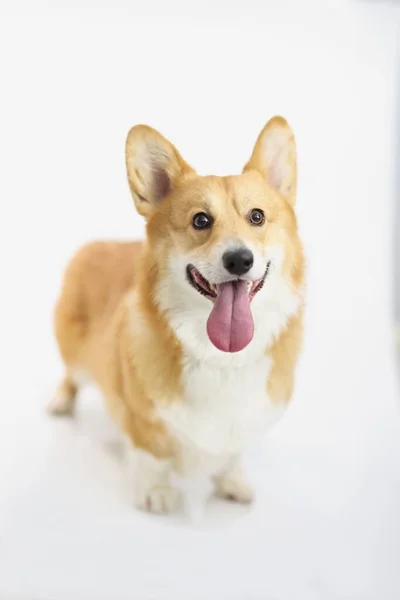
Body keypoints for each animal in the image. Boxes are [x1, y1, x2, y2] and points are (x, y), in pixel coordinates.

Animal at [49, 118, 306, 516]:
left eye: (257, 216)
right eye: (201, 220)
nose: (239, 259)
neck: (220, 359)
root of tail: (97, 244)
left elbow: (231, 454)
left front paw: (232, 482)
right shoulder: (143, 417)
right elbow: (152, 455)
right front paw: (155, 492)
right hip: (76, 354)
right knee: (71, 375)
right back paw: (61, 401)